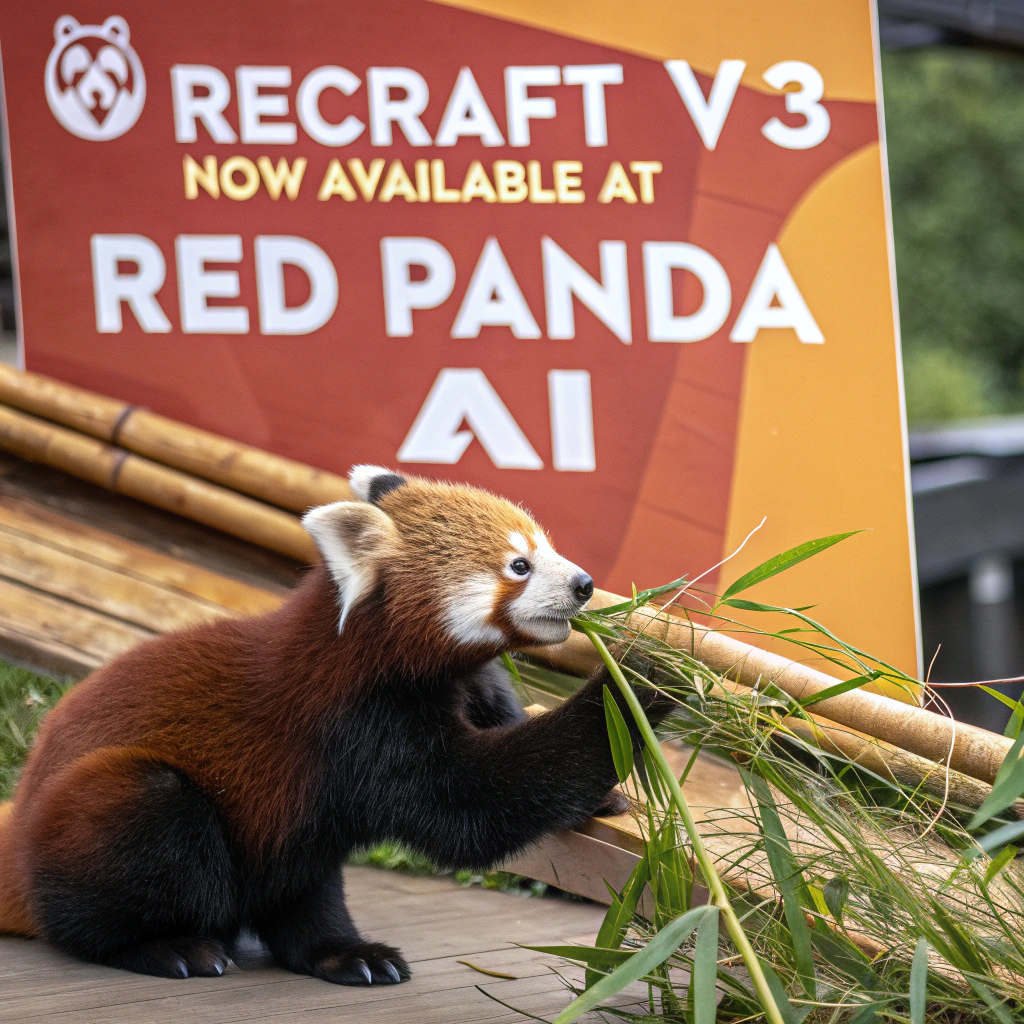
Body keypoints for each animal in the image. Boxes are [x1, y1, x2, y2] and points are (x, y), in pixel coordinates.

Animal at [0, 467, 672, 984]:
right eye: (519, 565)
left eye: (546, 547)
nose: (584, 585)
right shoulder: (356, 719)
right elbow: (470, 805)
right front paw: (637, 682)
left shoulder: (464, 684)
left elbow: (501, 720)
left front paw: (609, 789)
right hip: (110, 809)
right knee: (146, 822)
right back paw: (162, 946)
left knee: (303, 882)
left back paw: (344, 954)